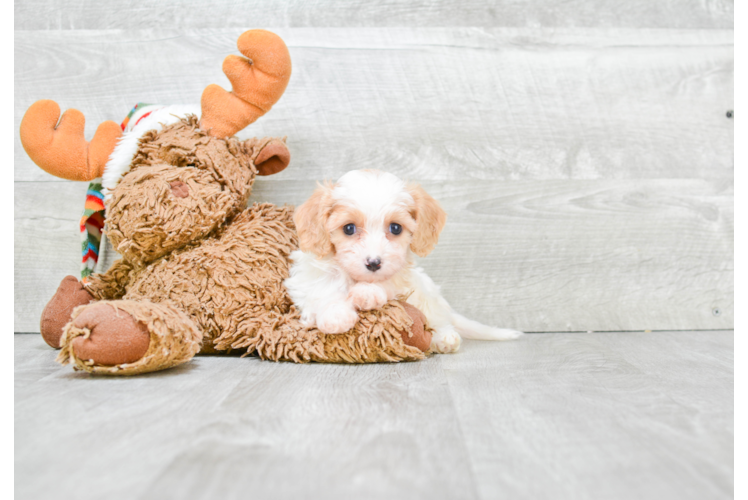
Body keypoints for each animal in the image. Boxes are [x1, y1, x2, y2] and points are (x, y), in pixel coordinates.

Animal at [284, 170, 524, 354]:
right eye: (349, 228)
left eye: (395, 228)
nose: (374, 263)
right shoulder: (307, 278)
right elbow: (324, 289)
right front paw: (336, 315)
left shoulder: (403, 277)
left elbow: (389, 283)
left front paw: (368, 292)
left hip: (428, 295)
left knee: (437, 320)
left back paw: (444, 338)